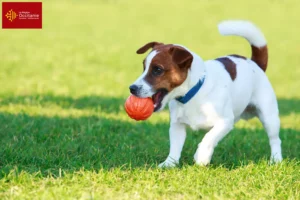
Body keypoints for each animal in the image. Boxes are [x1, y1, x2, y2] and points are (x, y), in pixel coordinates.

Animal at [130, 19, 282, 167]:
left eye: (157, 70)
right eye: (144, 67)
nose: (132, 88)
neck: (193, 93)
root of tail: (254, 63)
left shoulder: (225, 121)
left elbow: (209, 137)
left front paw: (202, 156)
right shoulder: (177, 125)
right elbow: (175, 146)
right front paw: (169, 163)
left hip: (269, 117)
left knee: (275, 139)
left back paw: (276, 159)